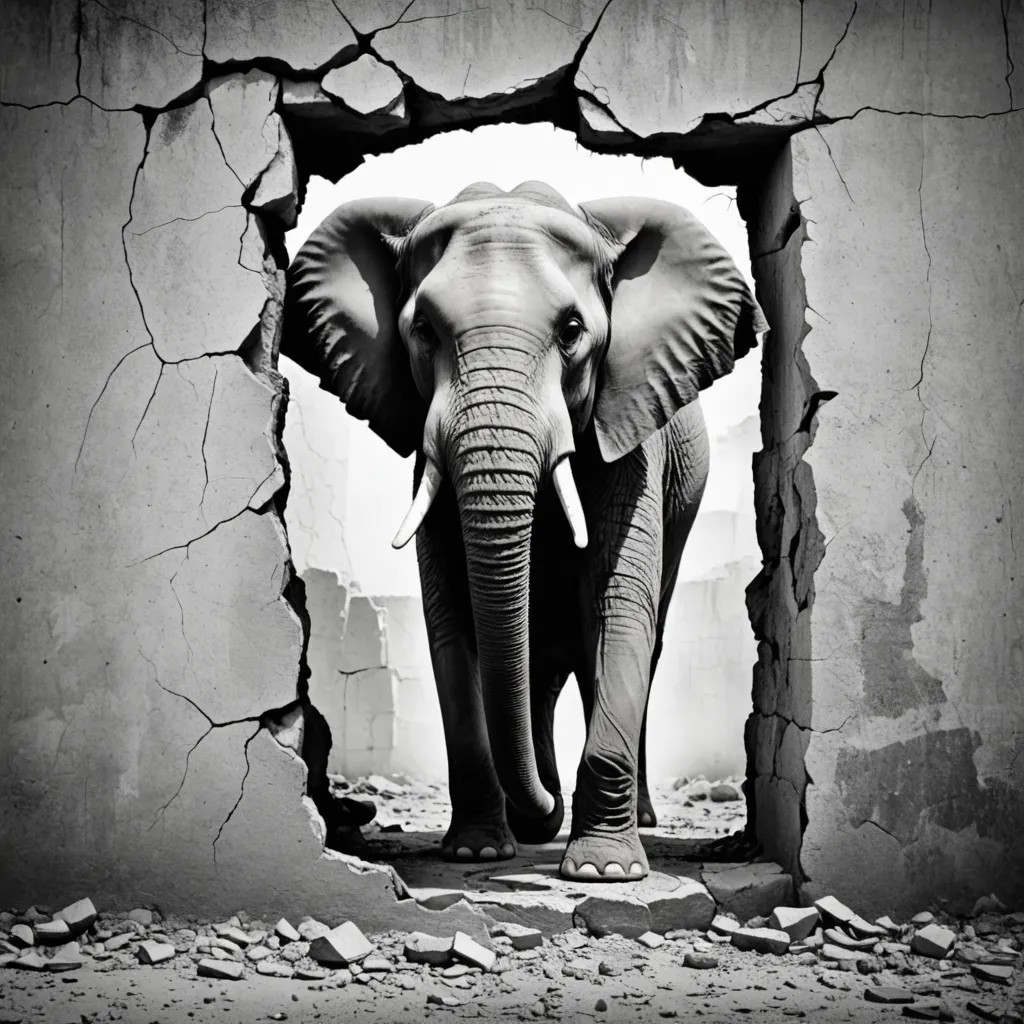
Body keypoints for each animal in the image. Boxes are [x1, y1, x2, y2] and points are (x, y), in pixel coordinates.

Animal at [282, 181, 764, 881]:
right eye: (421, 331)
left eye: (572, 332)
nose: (544, 810)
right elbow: (452, 618)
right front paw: (479, 849)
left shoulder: (631, 437)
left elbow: (617, 608)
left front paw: (602, 871)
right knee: (536, 668)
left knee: (625, 649)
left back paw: (627, 819)